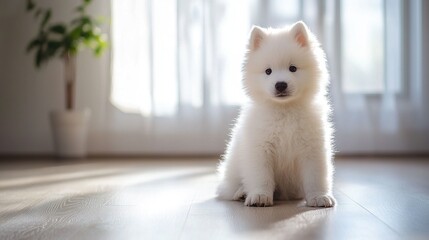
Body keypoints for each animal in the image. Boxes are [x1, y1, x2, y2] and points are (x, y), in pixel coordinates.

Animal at [217, 21, 334, 207]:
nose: (280, 85)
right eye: (268, 71)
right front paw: (259, 196)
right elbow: (261, 176)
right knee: (230, 188)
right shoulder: (260, 148)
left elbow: (315, 177)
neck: (284, 110)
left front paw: (319, 197)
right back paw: (241, 192)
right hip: (232, 169)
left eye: (293, 68)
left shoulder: (312, 148)